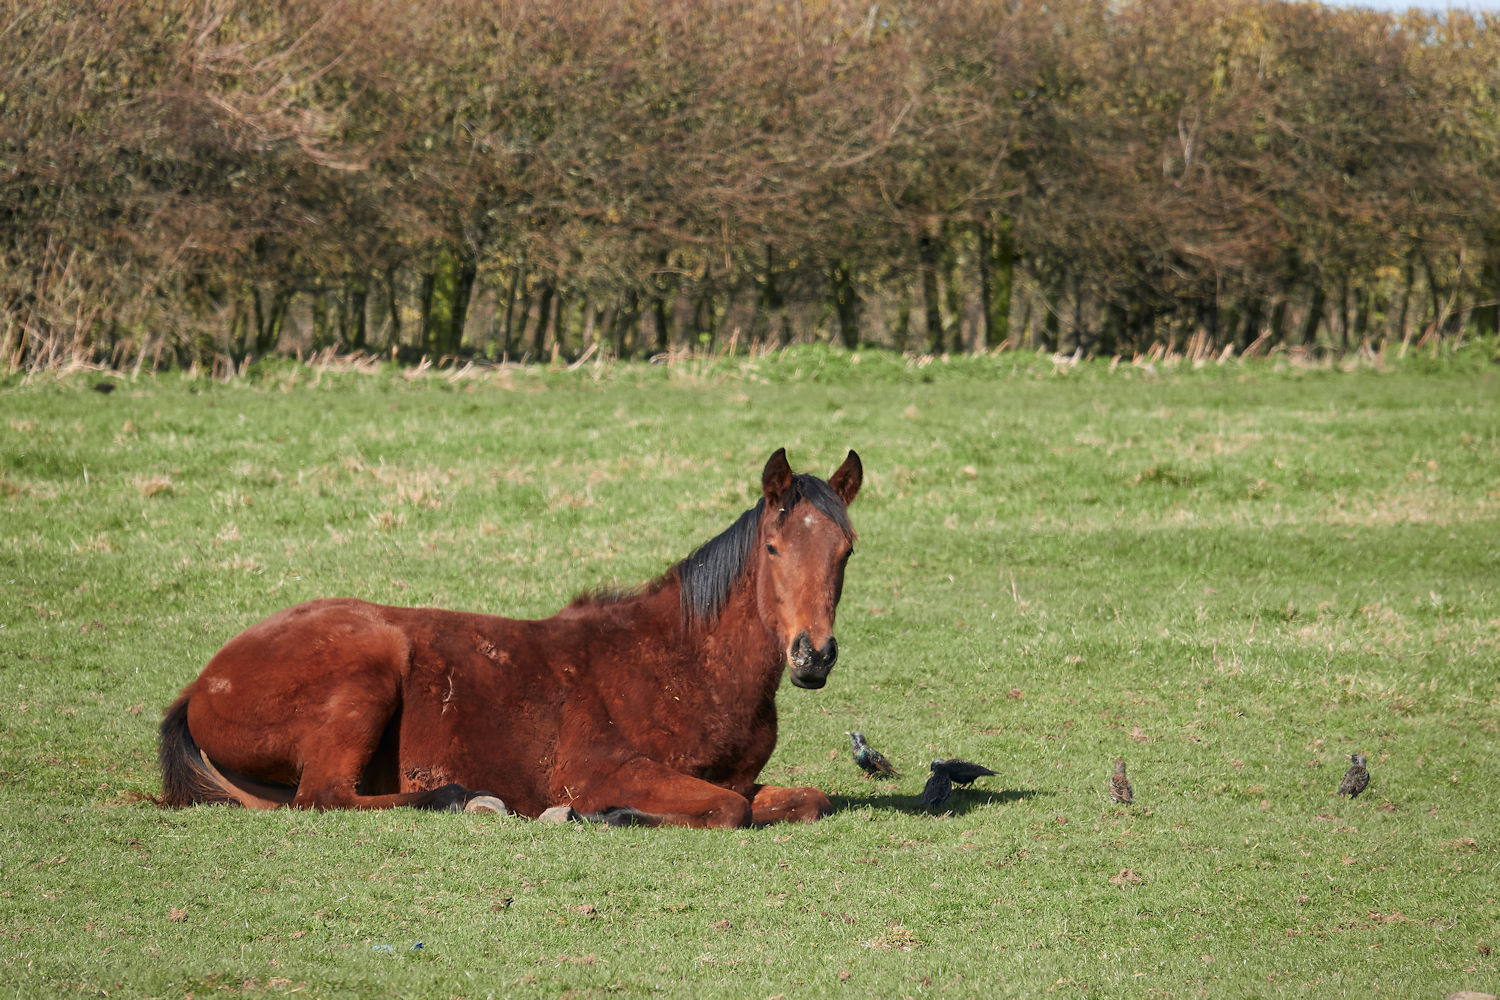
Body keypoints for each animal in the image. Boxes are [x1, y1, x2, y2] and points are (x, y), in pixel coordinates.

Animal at [157, 448, 861, 828]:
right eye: (772, 548)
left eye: (847, 551)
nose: (813, 657)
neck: (683, 664)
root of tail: (200, 685)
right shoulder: (602, 770)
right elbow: (726, 810)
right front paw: (598, 816)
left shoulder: (742, 779)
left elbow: (806, 800)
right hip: (368, 672)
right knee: (325, 798)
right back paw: (466, 799)